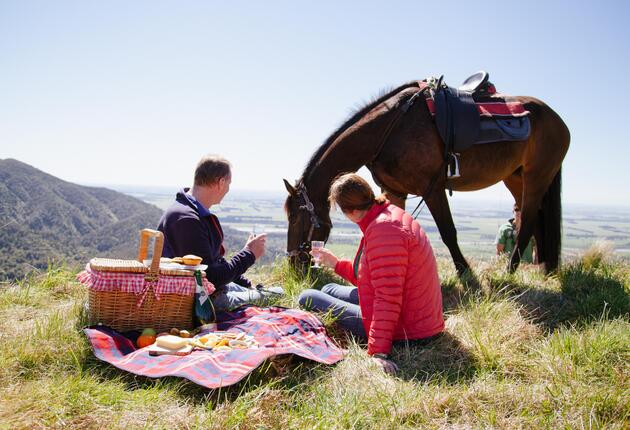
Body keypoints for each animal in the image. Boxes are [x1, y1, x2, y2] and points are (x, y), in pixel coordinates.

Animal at [286, 80, 572, 276]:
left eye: (297, 217)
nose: (293, 264)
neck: (389, 129)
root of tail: (558, 120)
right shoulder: (394, 191)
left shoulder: (432, 189)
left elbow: (448, 232)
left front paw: (464, 272)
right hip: (515, 178)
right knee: (533, 219)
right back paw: (544, 268)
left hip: (537, 177)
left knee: (527, 222)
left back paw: (510, 270)